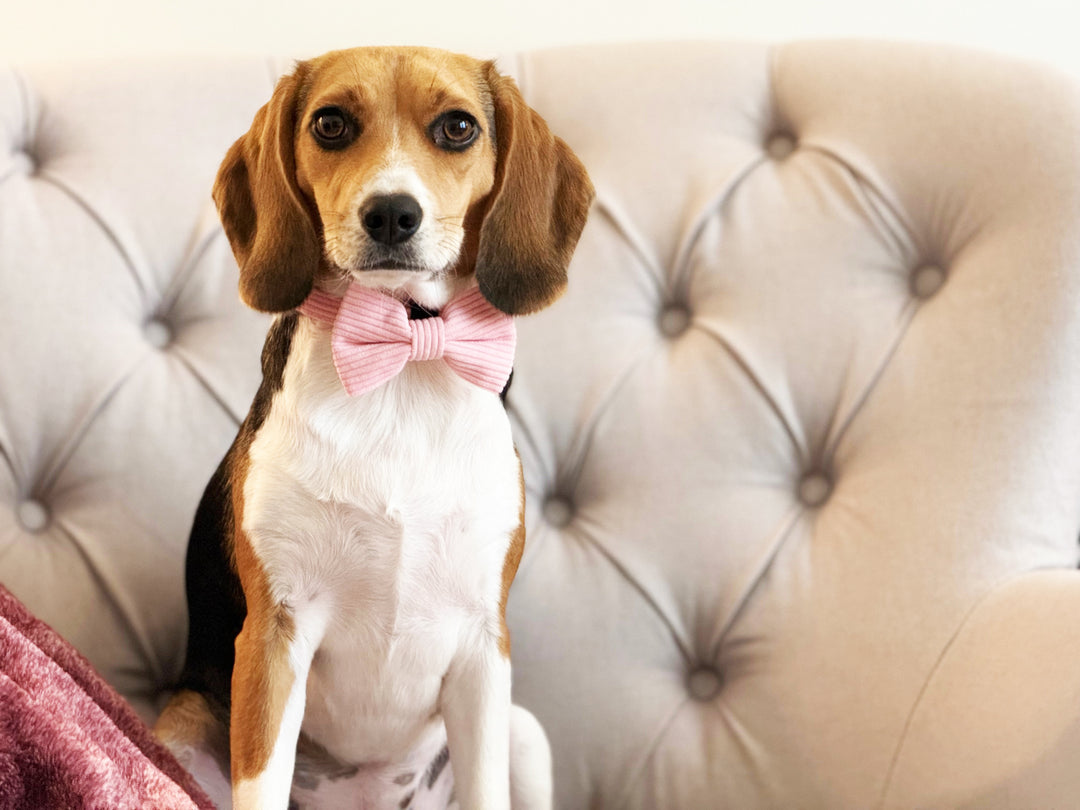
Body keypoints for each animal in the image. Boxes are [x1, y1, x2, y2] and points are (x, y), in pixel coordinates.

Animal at [154, 49, 591, 810]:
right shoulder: (272, 638)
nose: (391, 213)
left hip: (524, 732)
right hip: (179, 724)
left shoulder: (485, 647)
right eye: (330, 124)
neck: (401, 362)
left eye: (458, 127)